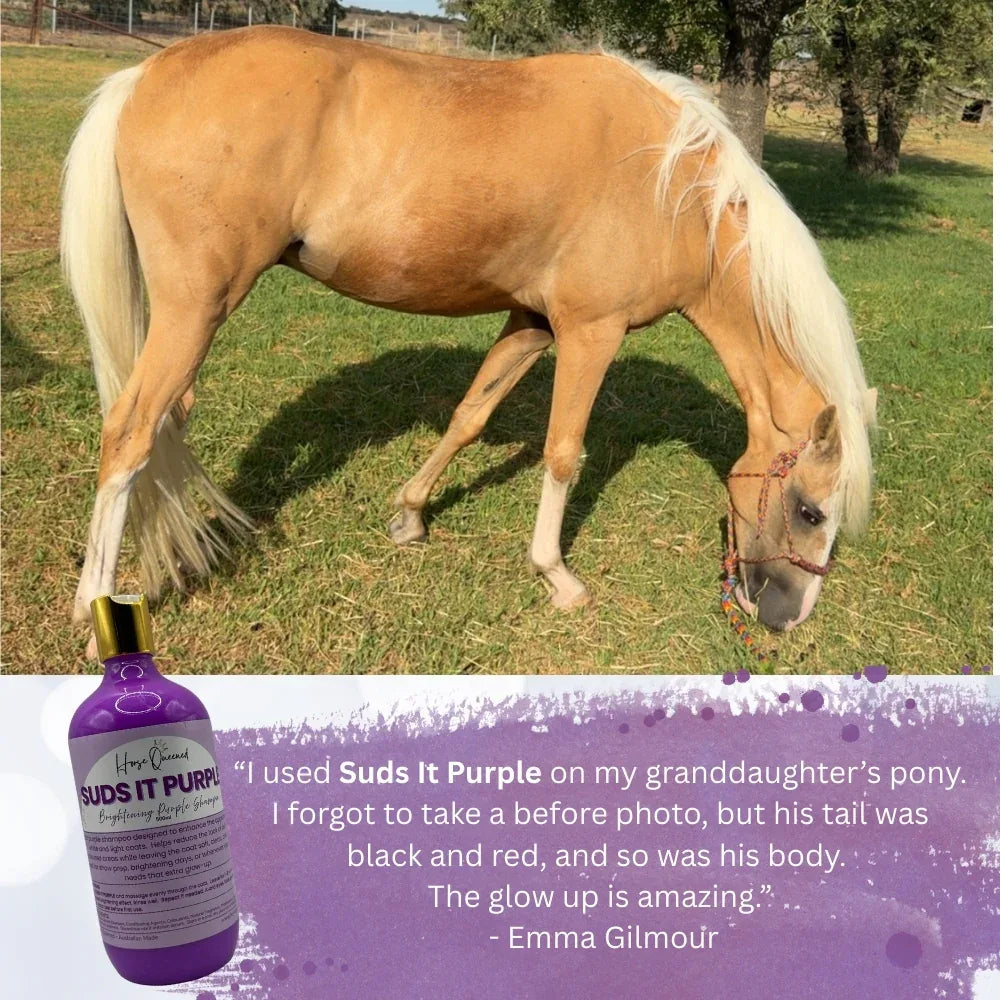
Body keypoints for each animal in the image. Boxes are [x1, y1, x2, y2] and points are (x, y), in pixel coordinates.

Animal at [61, 26, 876, 648]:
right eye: (810, 511)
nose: (787, 619)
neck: (670, 189)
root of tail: (143, 73)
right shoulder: (591, 332)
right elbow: (562, 453)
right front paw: (555, 575)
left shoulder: (532, 325)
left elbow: (470, 415)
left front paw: (410, 515)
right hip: (195, 311)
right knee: (129, 434)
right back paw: (94, 611)